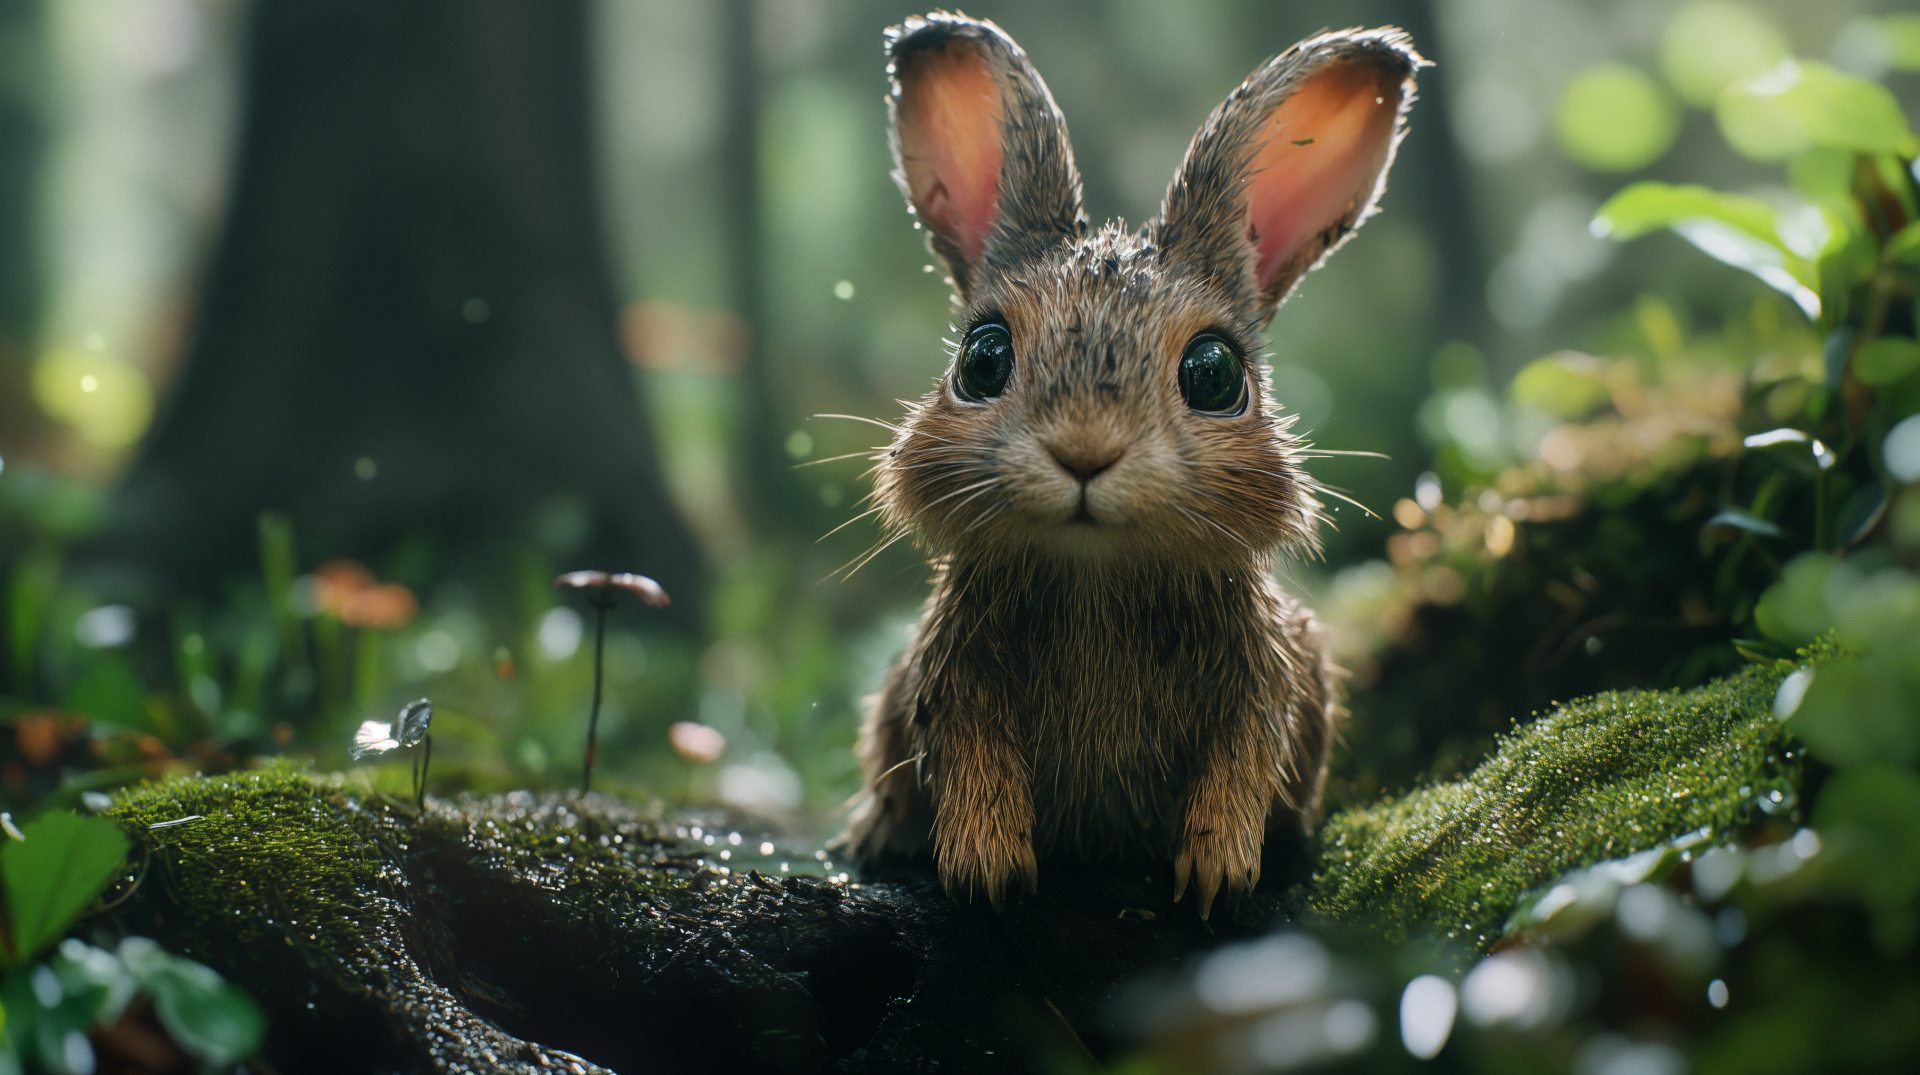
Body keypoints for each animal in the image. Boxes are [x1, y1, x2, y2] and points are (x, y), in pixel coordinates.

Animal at [834, 11, 1423, 919]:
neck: (1096, 576)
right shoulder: (955, 677)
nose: (1085, 451)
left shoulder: (1259, 681)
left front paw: (1218, 873)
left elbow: (1242, 759)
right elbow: (970, 756)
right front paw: (987, 869)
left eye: (1215, 374)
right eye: (981, 359)